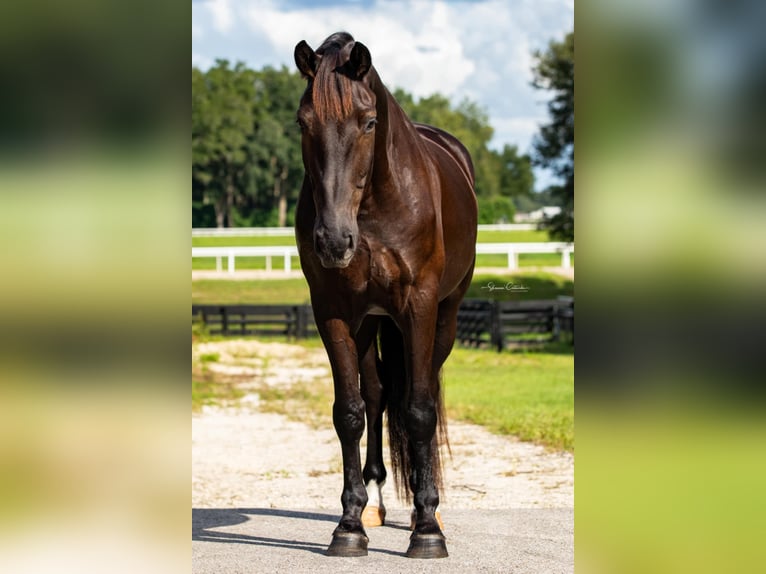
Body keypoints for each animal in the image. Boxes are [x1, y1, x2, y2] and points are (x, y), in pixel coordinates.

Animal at [296, 32, 476, 564]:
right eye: (302, 123)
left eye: (369, 122)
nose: (334, 241)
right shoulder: (333, 312)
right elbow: (350, 412)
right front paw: (349, 526)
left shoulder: (419, 307)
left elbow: (418, 411)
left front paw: (428, 531)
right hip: (371, 320)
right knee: (376, 394)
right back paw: (376, 504)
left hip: (443, 318)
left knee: (424, 390)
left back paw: (425, 509)